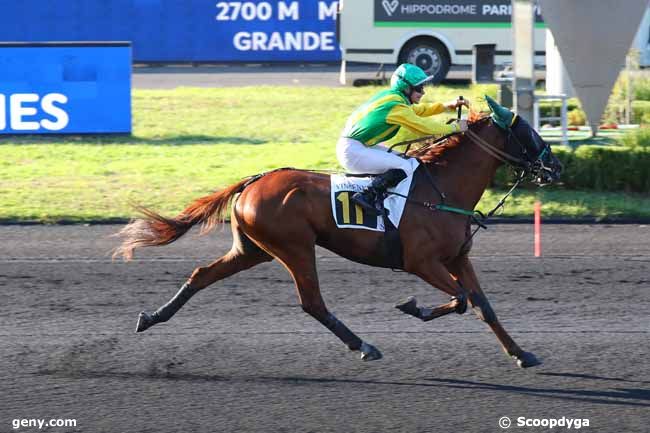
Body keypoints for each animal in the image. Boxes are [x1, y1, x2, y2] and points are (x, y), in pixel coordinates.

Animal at [114, 97, 560, 368]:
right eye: (529, 132)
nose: (555, 167)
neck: (442, 188)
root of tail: (254, 181)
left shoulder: (457, 257)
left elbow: (483, 305)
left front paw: (522, 353)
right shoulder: (421, 261)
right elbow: (463, 300)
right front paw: (412, 306)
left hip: (253, 249)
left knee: (202, 275)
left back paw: (151, 317)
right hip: (294, 247)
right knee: (312, 302)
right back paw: (363, 345)